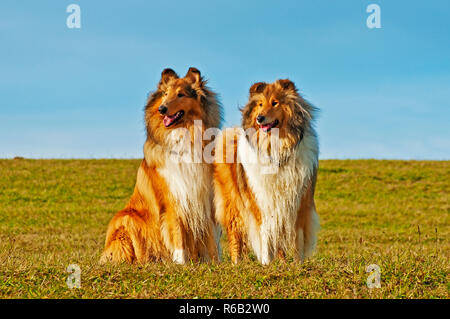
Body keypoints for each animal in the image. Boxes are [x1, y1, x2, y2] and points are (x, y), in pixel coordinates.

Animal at [101, 67, 222, 264]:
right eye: (165, 94)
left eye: (180, 94)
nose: (162, 109)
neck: (185, 134)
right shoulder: (172, 198)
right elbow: (177, 233)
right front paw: (181, 263)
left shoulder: (206, 199)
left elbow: (211, 236)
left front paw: (216, 263)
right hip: (127, 218)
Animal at [213, 79, 318, 264]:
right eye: (260, 104)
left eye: (275, 102)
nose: (259, 118)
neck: (276, 148)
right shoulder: (260, 201)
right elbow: (265, 235)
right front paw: (266, 263)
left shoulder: (298, 203)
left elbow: (296, 238)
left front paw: (297, 264)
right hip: (232, 204)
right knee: (236, 235)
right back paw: (236, 263)